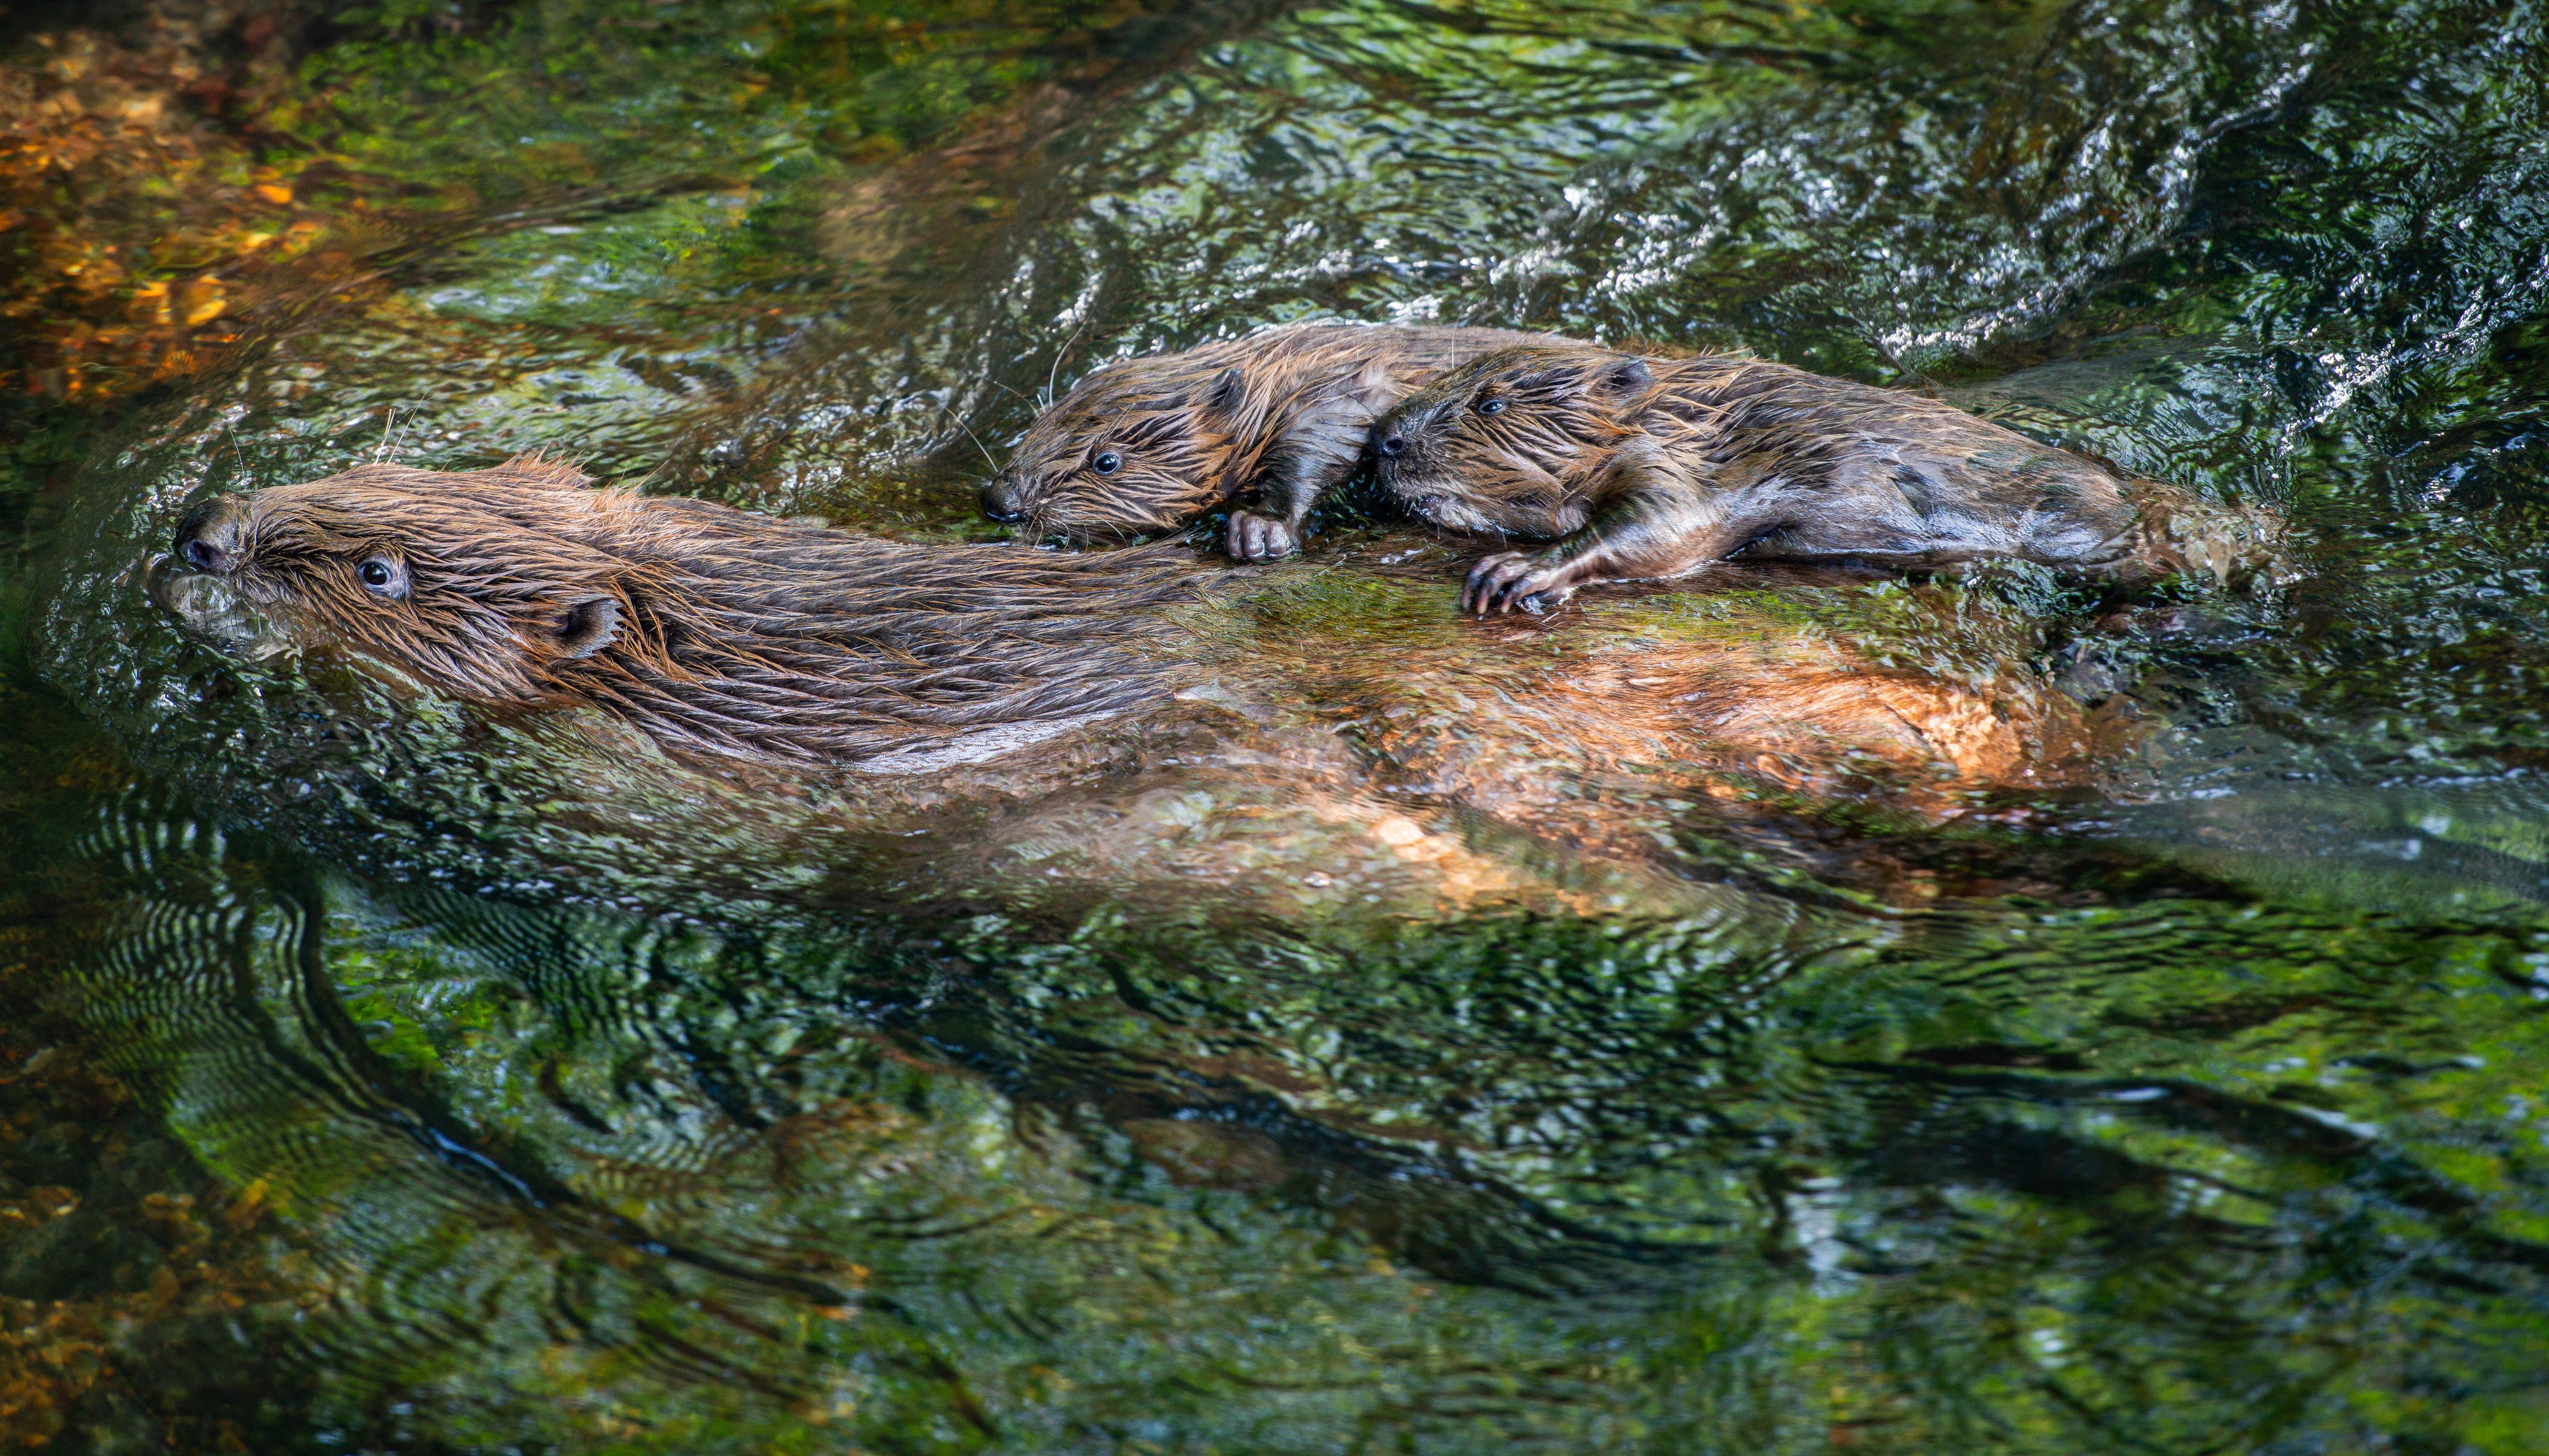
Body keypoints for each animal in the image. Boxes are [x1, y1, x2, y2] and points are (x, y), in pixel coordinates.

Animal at [979, 321, 1550, 561]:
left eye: (1107, 461)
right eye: (1043, 419)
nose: (1000, 501)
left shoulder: (1346, 391)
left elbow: (1317, 447)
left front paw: (1258, 531)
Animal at [1366, 342, 2284, 614]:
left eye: (1488, 401)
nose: (1384, 440)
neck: (1691, 411)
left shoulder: (1697, 469)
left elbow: (1661, 530)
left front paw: (1512, 573)